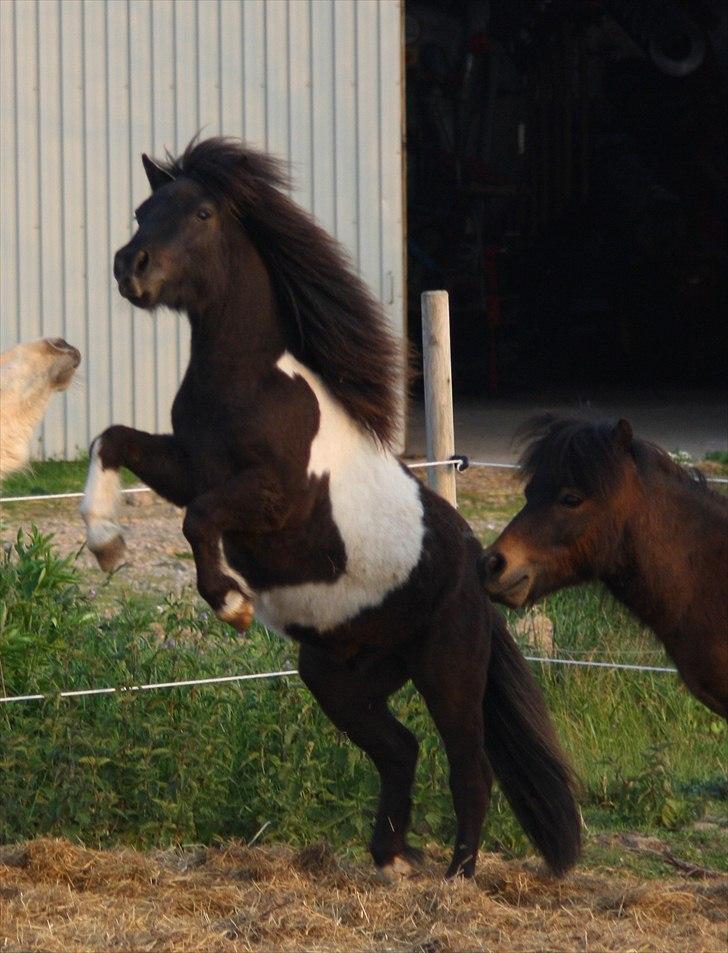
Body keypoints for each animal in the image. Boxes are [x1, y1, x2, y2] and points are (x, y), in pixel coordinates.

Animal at [80, 138, 581, 879]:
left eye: (200, 212)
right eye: (144, 210)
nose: (130, 267)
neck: (250, 382)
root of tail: (479, 567)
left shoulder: (273, 498)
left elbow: (200, 518)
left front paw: (229, 602)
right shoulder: (184, 465)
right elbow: (112, 440)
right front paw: (106, 541)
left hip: (448, 669)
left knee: (469, 766)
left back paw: (456, 875)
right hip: (337, 677)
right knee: (401, 749)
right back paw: (389, 858)